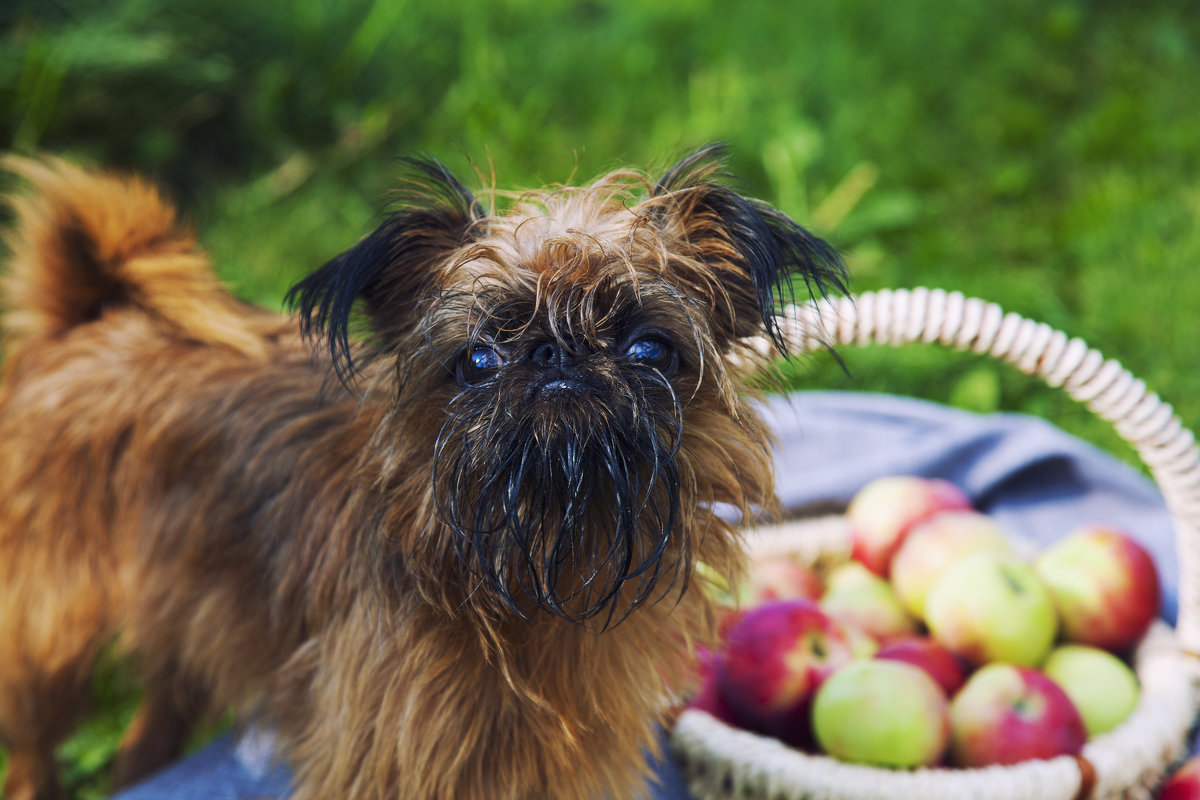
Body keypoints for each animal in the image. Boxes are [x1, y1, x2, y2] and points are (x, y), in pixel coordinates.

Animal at [0, 149, 844, 800]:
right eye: (478, 360)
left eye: (647, 349)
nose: (557, 357)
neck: (536, 566)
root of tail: (89, 321)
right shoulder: (387, 758)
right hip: (52, 631)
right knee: (35, 743)